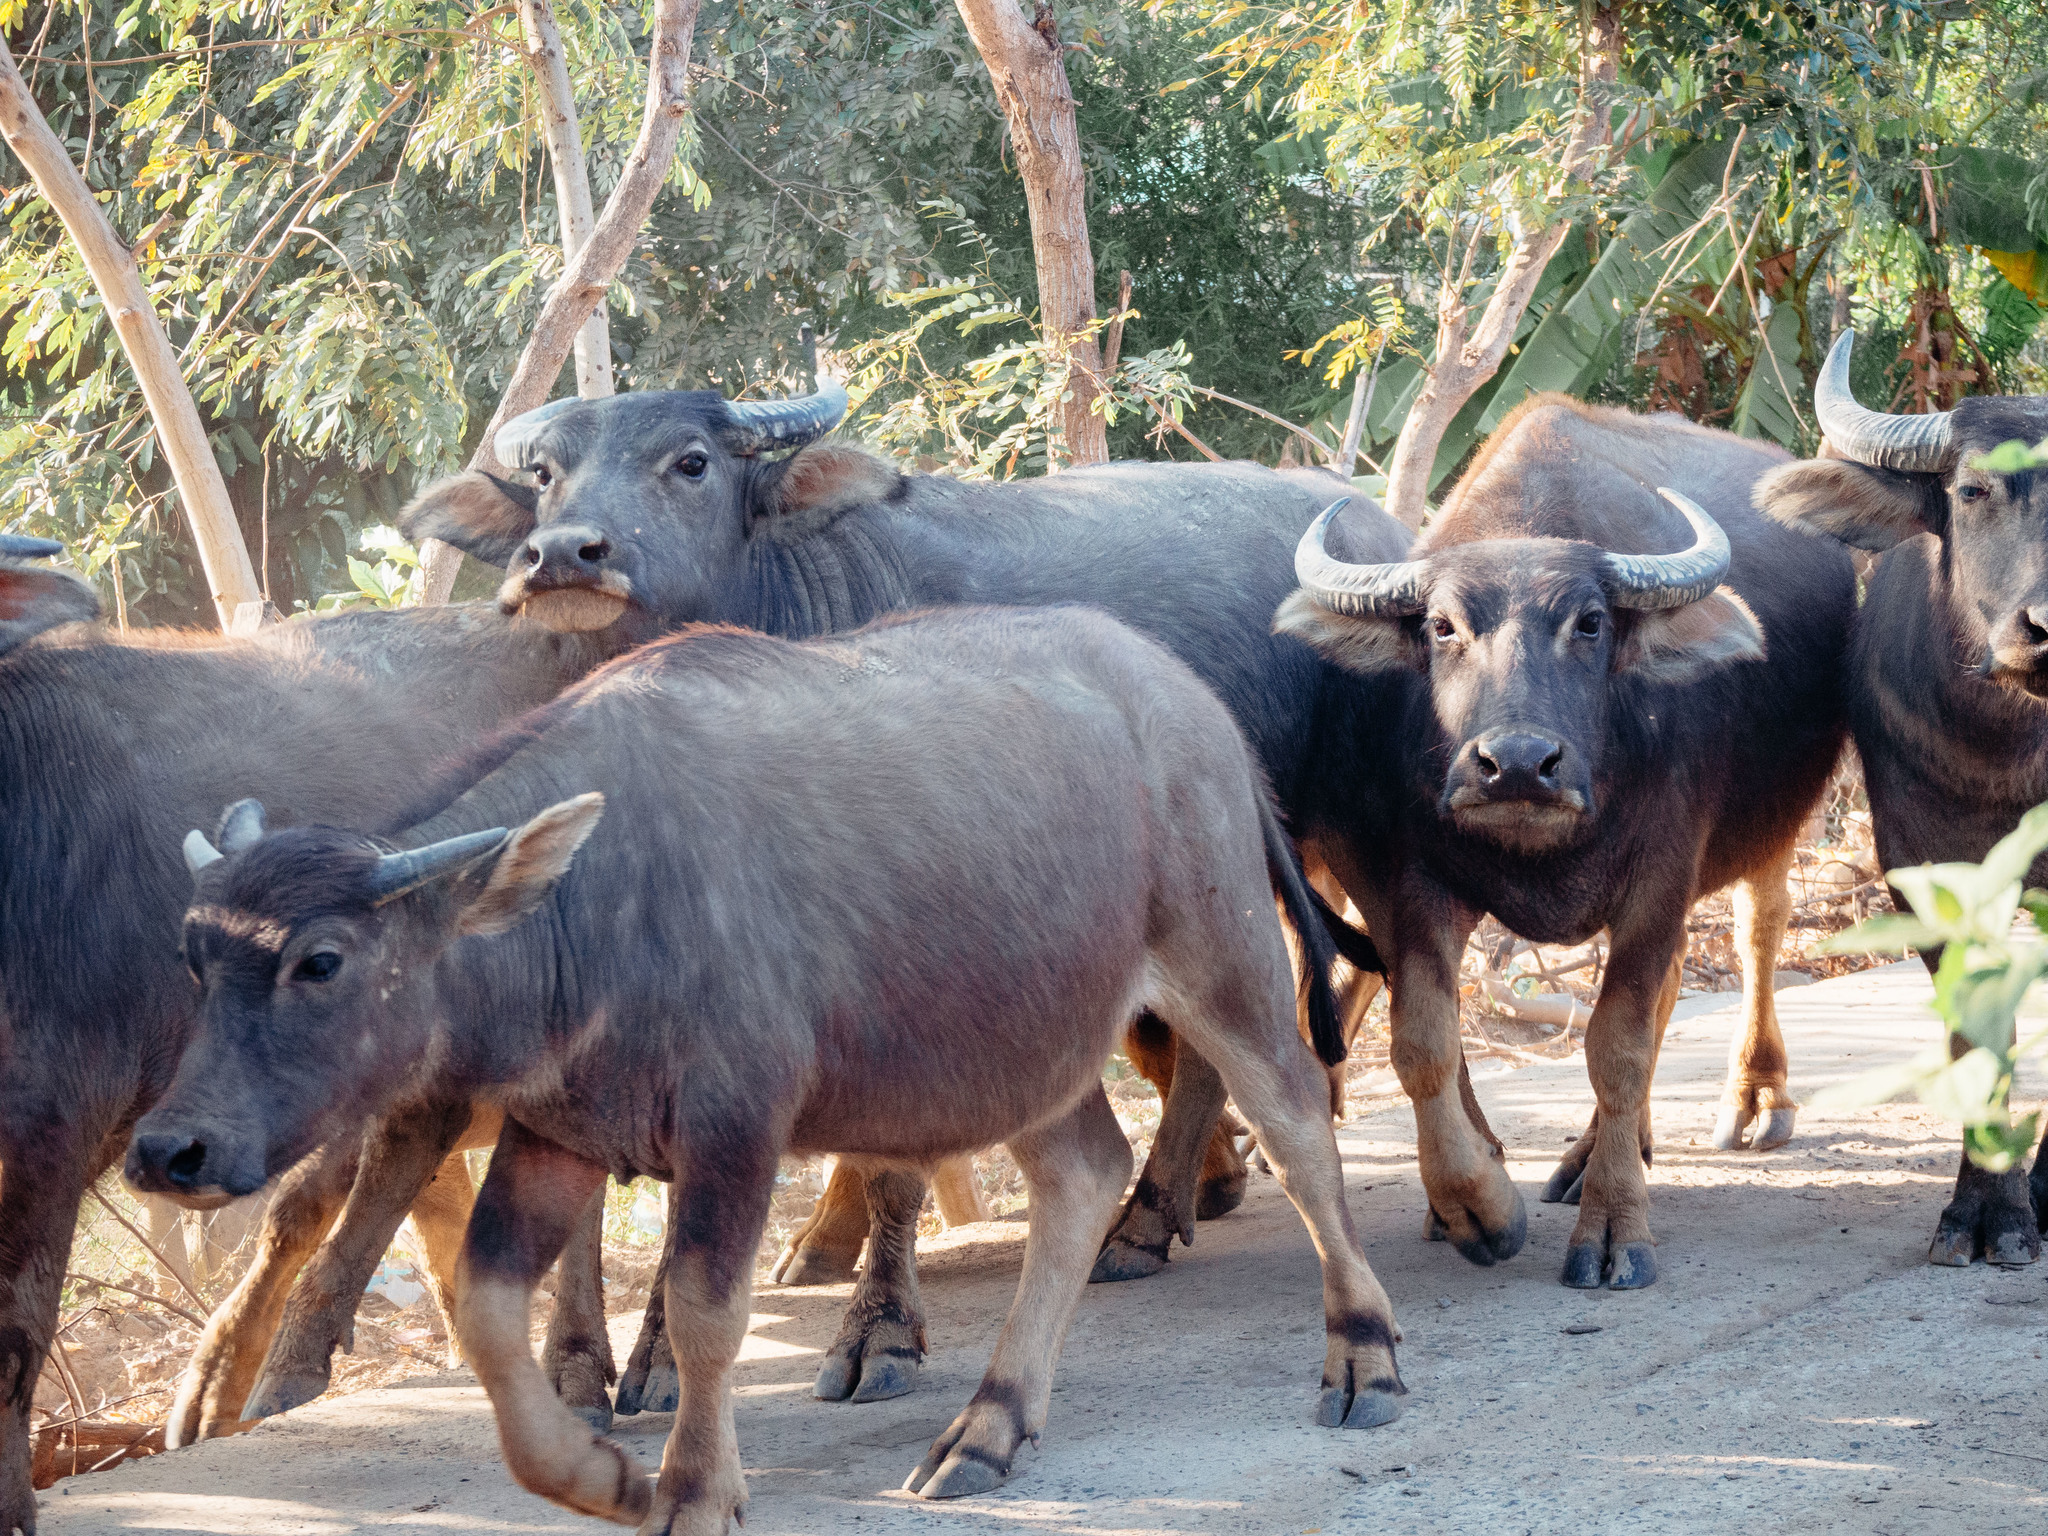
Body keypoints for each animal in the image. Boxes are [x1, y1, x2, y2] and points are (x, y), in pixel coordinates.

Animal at [128, 606, 1409, 1531]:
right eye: (192, 954)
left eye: (321, 960)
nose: (168, 1150)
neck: (591, 909)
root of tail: (1190, 704)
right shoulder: (560, 1132)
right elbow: (488, 1309)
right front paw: (599, 1475)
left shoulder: (736, 1125)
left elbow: (705, 1311)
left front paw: (693, 1490)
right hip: (1011, 1050)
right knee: (1083, 1172)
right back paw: (990, 1426)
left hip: (1220, 955)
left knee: (1296, 1125)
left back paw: (1363, 1355)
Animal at [1277, 403, 1859, 1294]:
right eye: (1442, 626)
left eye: (1589, 623)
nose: (1517, 763)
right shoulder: (1418, 880)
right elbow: (1423, 1042)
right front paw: (1474, 1206)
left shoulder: (1660, 876)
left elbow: (1616, 1046)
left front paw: (1616, 1227)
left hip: (1770, 829)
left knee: (1758, 932)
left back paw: (1752, 1102)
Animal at [1753, 331, 2048, 1269]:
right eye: (1971, 490)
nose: (2044, 628)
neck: (2011, 753)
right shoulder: (1921, 867)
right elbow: (1976, 1032)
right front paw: (1981, 1212)